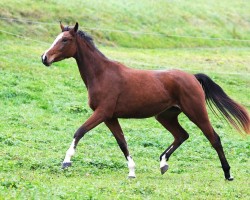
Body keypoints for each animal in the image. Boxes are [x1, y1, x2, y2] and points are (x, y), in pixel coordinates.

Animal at [41, 22, 250, 180]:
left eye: (65, 40)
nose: (44, 58)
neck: (102, 74)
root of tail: (192, 76)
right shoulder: (110, 117)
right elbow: (122, 143)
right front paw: (132, 172)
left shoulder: (102, 113)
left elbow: (80, 131)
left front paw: (66, 161)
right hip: (166, 116)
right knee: (182, 135)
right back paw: (163, 163)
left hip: (196, 112)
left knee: (214, 138)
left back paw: (228, 174)